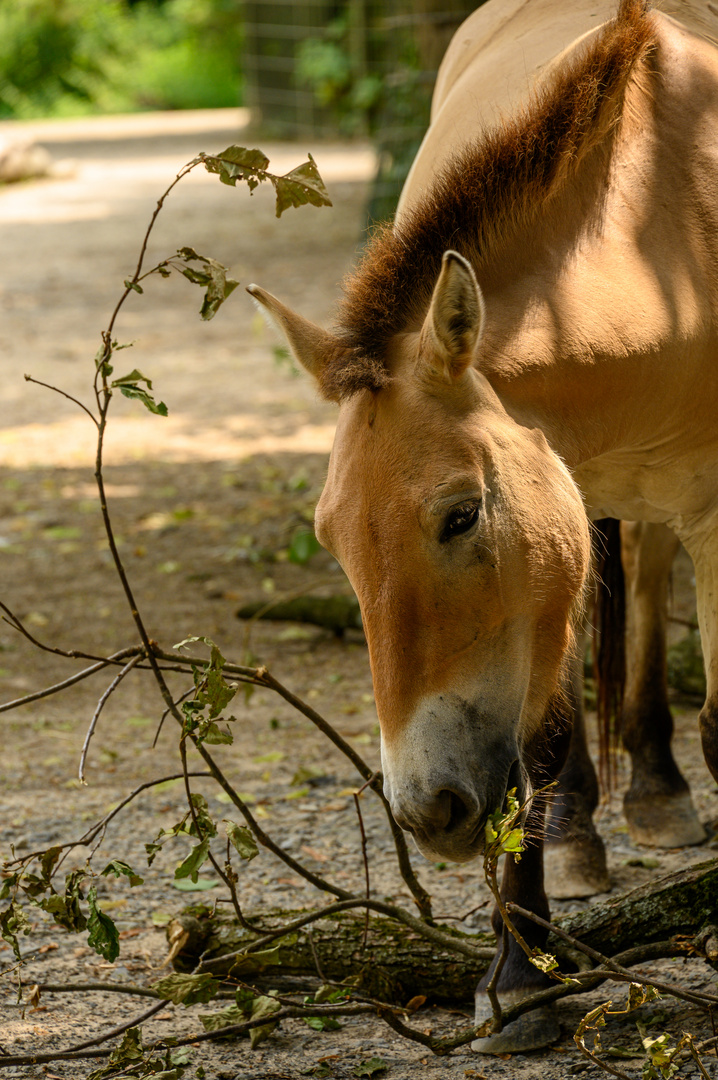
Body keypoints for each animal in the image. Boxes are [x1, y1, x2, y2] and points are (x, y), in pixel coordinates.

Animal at [248, 0, 716, 1054]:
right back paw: (594, 825)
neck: (660, 224)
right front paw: (517, 978)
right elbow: (535, 745)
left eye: (461, 514)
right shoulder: (554, 538)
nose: (430, 812)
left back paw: (658, 789)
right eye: (331, 541)